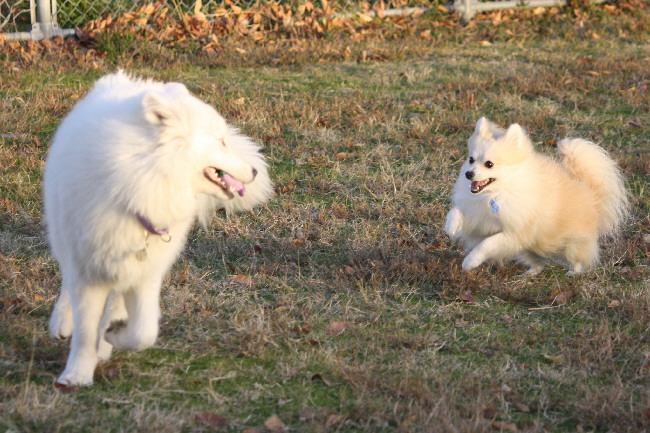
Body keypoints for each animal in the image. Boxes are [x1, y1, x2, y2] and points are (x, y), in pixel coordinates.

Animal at [44, 71, 273, 386]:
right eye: (221, 141)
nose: (254, 171)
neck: (137, 183)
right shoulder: (89, 269)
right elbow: (86, 330)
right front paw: (76, 375)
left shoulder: (145, 274)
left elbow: (143, 332)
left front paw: (112, 337)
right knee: (68, 282)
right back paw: (63, 322)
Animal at [445, 117, 628, 275]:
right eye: (471, 159)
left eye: (489, 164)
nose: (469, 174)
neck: (495, 193)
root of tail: (590, 192)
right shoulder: (476, 217)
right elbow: (455, 211)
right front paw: (451, 227)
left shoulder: (513, 234)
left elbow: (486, 244)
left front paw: (470, 261)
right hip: (529, 249)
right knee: (539, 263)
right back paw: (528, 275)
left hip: (571, 244)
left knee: (577, 259)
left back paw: (573, 273)